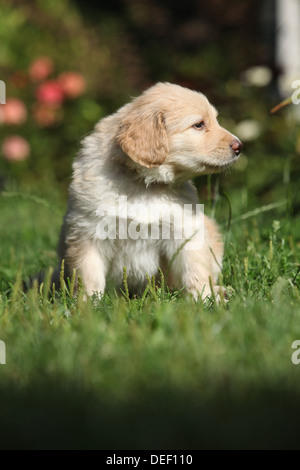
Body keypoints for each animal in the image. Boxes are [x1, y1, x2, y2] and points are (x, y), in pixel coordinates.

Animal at [57, 82, 243, 300]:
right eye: (199, 124)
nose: (239, 146)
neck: (143, 183)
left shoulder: (185, 231)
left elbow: (195, 270)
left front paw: (205, 300)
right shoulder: (89, 234)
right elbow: (89, 277)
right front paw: (87, 305)